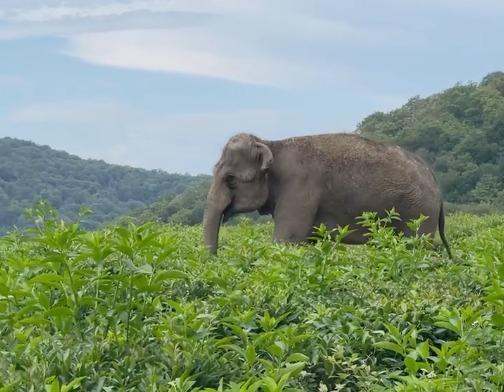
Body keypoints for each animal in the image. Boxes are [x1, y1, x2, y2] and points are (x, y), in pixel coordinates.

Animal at [202, 133, 452, 258]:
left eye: (230, 179)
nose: (217, 259)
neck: (272, 144)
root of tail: (434, 179)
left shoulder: (300, 188)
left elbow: (287, 239)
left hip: (418, 210)